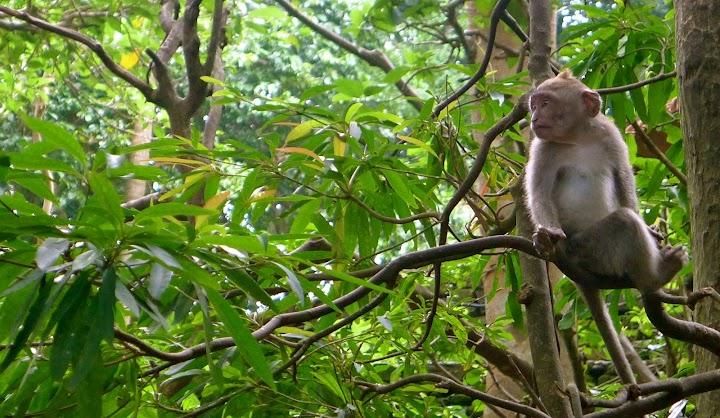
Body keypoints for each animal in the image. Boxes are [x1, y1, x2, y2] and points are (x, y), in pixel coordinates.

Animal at [523, 70, 687, 384]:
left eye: (545, 103)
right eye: (534, 105)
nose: (534, 118)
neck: (577, 138)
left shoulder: (609, 135)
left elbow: (623, 179)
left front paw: (651, 231)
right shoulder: (542, 147)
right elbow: (539, 193)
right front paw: (547, 236)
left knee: (626, 216)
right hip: (587, 249)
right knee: (623, 223)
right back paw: (655, 277)